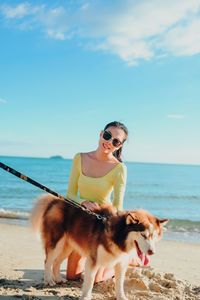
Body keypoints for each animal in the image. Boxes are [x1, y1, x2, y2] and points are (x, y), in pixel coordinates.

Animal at [29, 195, 167, 300]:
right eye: (143, 235)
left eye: (154, 236)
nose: (152, 252)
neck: (118, 236)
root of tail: (55, 200)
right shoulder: (93, 259)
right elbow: (90, 281)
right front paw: (85, 297)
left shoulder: (121, 263)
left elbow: (119, 283)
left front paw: (121, 297)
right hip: (56, 243)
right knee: (48, 261)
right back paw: (48, 280)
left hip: (67, 246)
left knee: (57, 262)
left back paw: (58, 278)